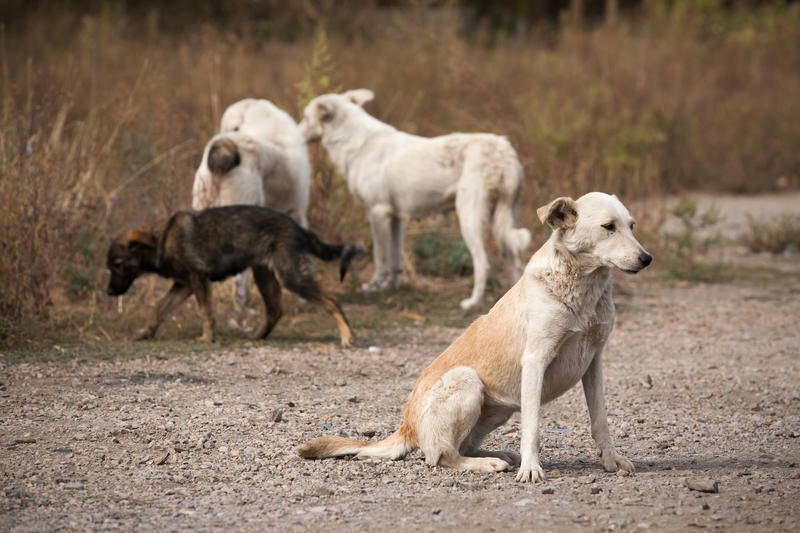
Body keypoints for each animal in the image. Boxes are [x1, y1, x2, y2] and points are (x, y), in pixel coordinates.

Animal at [108, 204, 364, 344]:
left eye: (118, 264)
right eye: (110, 266)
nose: (109, 292)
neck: (160, 239)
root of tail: (301, 229)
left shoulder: (198, 279)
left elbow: (206, 313)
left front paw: (207, 338)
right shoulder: (184, 284)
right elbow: (160, 308)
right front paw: (146, 332)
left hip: (292, 276)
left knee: (331, 301)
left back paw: (347, 336)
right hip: (264, 276)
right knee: (275, 310)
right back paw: (258, 336)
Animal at [300, 192, 648, 482]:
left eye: (631, 226)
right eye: (608, 227)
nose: (647, 259)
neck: (583, 288)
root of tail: (407, 426)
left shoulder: (594, 362)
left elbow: (600, 421)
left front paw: (611, 461)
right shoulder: (536, 361)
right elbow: (533, 427)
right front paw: (531, 469)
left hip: (501, 408)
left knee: (461, 446)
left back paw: (501, 454)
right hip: (467, 380)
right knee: (440, 456)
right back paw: (488, 463)